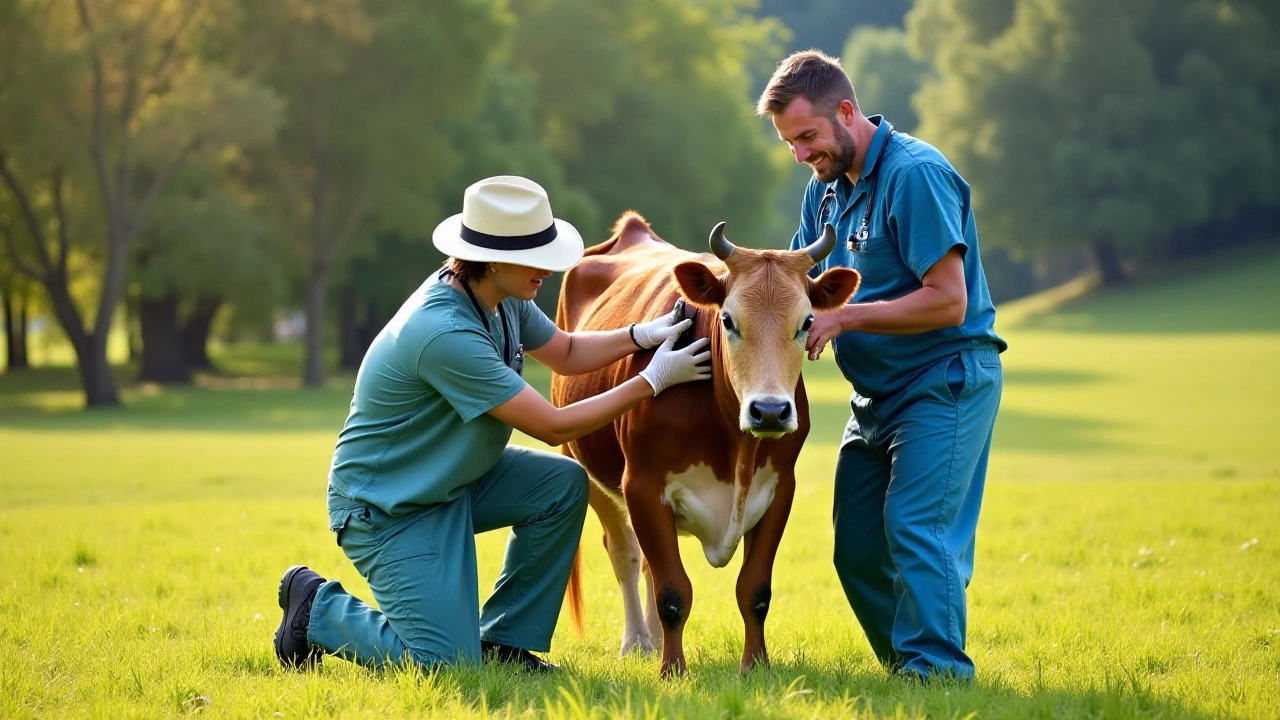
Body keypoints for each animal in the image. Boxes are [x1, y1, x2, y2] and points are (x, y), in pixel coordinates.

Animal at [550, 210, 860, 676]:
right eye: (728, 320)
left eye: (806, 323)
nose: (770, 411)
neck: (734, 446)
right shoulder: (642, 485)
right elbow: (673, 591)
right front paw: (672, 670)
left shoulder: (780, 489)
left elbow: (754, 589)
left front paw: (755, 666)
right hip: (588, 470)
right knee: (627, 555)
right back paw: (639, 642)